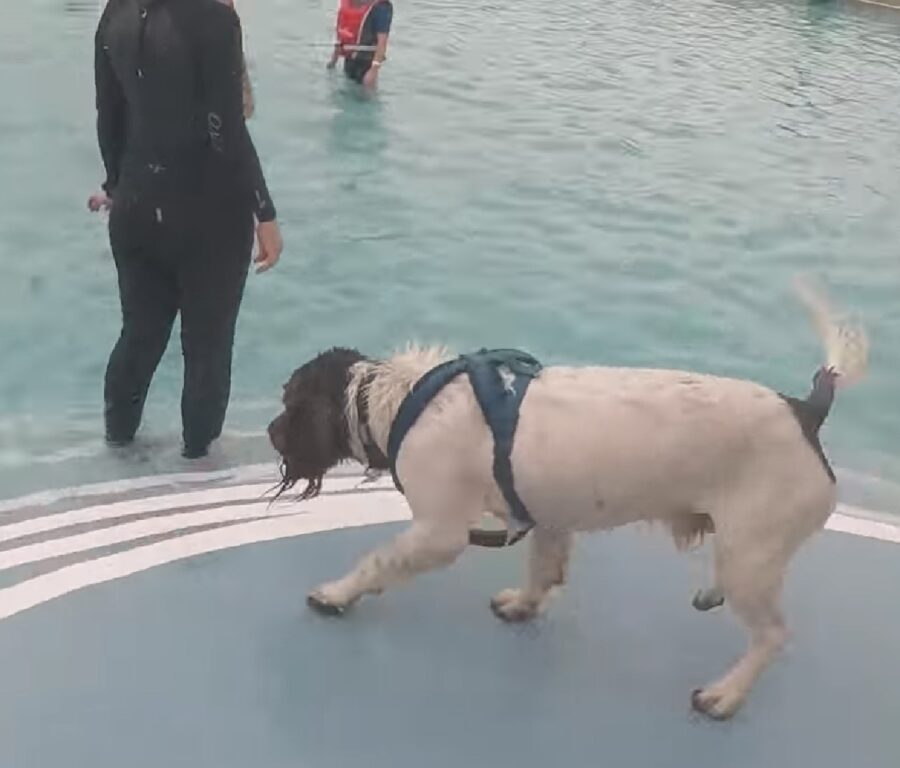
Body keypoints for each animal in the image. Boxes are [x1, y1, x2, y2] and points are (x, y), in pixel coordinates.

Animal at [266, 282, 864, 720]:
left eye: (289, 403)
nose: (270, 433)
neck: (404, 399)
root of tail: (807, 411)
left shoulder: (440, 531)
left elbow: (376, 562)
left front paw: (335, 595)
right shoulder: (545, 515)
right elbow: (543, 567)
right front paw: (524, 604)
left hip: (752, 556)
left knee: (773, 636)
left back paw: (725, 695)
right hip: (746, 548)